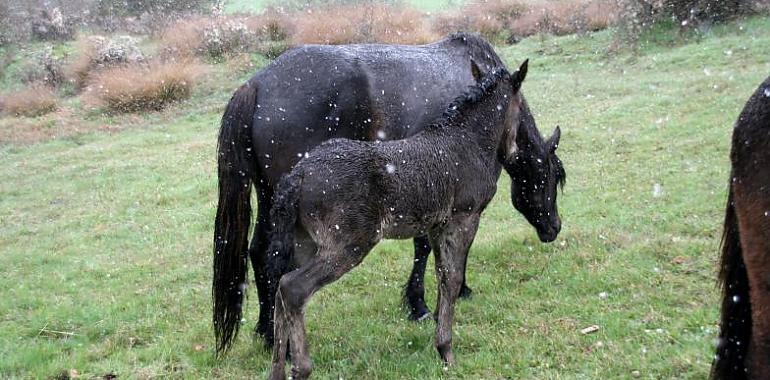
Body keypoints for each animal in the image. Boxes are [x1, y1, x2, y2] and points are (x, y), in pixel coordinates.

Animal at [264, 63, 536, 380]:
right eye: (519, 107)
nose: (513, 151)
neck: (467, 141)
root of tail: (299, 174)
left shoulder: (437, 226)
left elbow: (442, 276)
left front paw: (438, 337)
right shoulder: (464, 218)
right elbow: (454, 279)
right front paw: (447, 351)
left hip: (305, 243)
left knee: (280, 287)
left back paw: (277, 370)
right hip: (348, 245)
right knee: (293, 288)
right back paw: (302, 367)